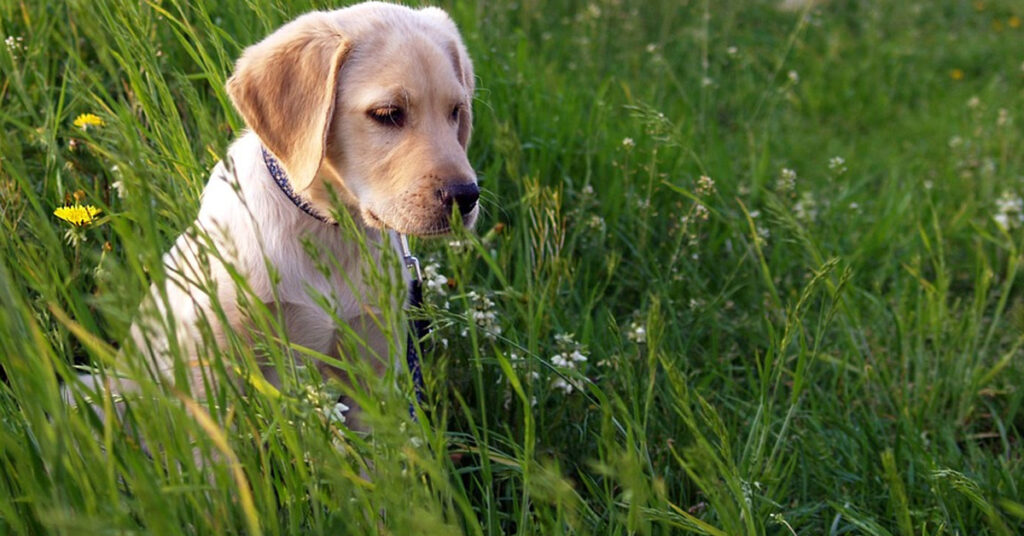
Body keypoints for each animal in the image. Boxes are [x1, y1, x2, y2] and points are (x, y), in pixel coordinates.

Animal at [73, 1, 479, 416]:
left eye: (456, 112)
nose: (466, 196)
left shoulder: (378, 371)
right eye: (388, 114)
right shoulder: (213, 365)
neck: (327, 229)